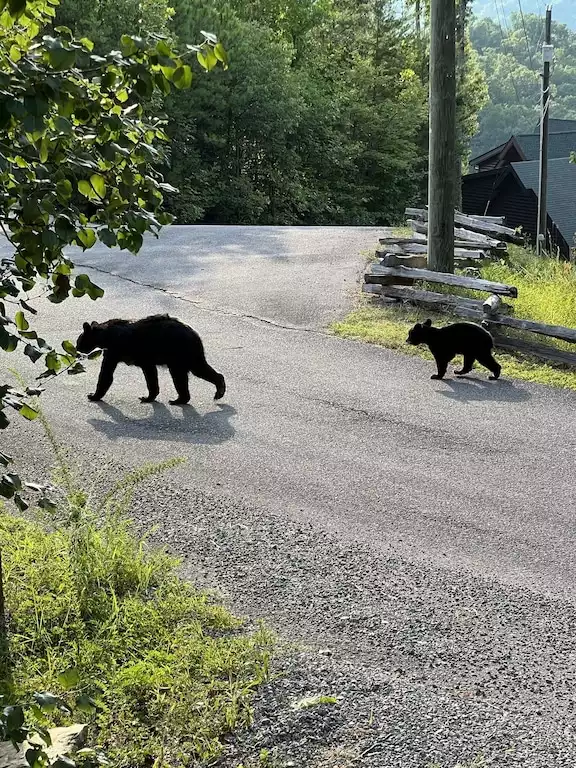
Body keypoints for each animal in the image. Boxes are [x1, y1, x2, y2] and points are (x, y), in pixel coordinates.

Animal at [76, 314, 227, 404]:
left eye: (79, 341)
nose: (77, 350)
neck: (105, 336)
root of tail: (195, 334)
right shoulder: (144, 359)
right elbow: (151, 375)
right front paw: (149, 396)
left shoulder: (115, 350)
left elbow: (106, 374)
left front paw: (93, 395)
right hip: (185, 355)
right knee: (192, 372)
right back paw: (183, 398)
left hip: (182, 352)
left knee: (188, 372)